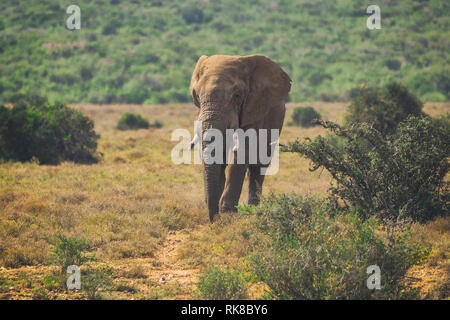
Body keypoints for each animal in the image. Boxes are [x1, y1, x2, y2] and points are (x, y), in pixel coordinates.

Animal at [190, 54, 292, 220]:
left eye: (237, 96)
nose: (213, 220)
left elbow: (242, 153)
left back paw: (253, 211)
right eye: (197, 96)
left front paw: (228, 214)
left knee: (258, 167)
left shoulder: (254, 110)